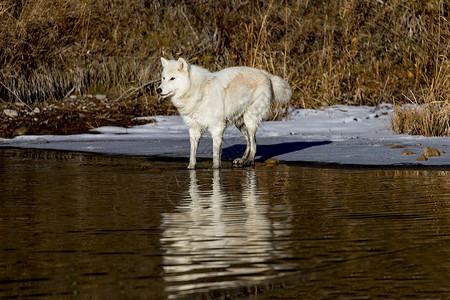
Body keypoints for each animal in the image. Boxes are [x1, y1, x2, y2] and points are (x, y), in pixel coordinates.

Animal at [157, 56, 292, 169]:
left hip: (250, 121)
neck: (198, 91)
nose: (158, 90)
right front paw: (190, 169)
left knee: (253, 142)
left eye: (172, 78)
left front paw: (216, 170)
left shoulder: (217, 128)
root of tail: (267, 74)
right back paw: (242, 160)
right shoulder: (194, 129)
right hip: (240, 123)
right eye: (164, 78)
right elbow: (192, 154)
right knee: (250, 141)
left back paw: (249, 161)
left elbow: (216, 156)